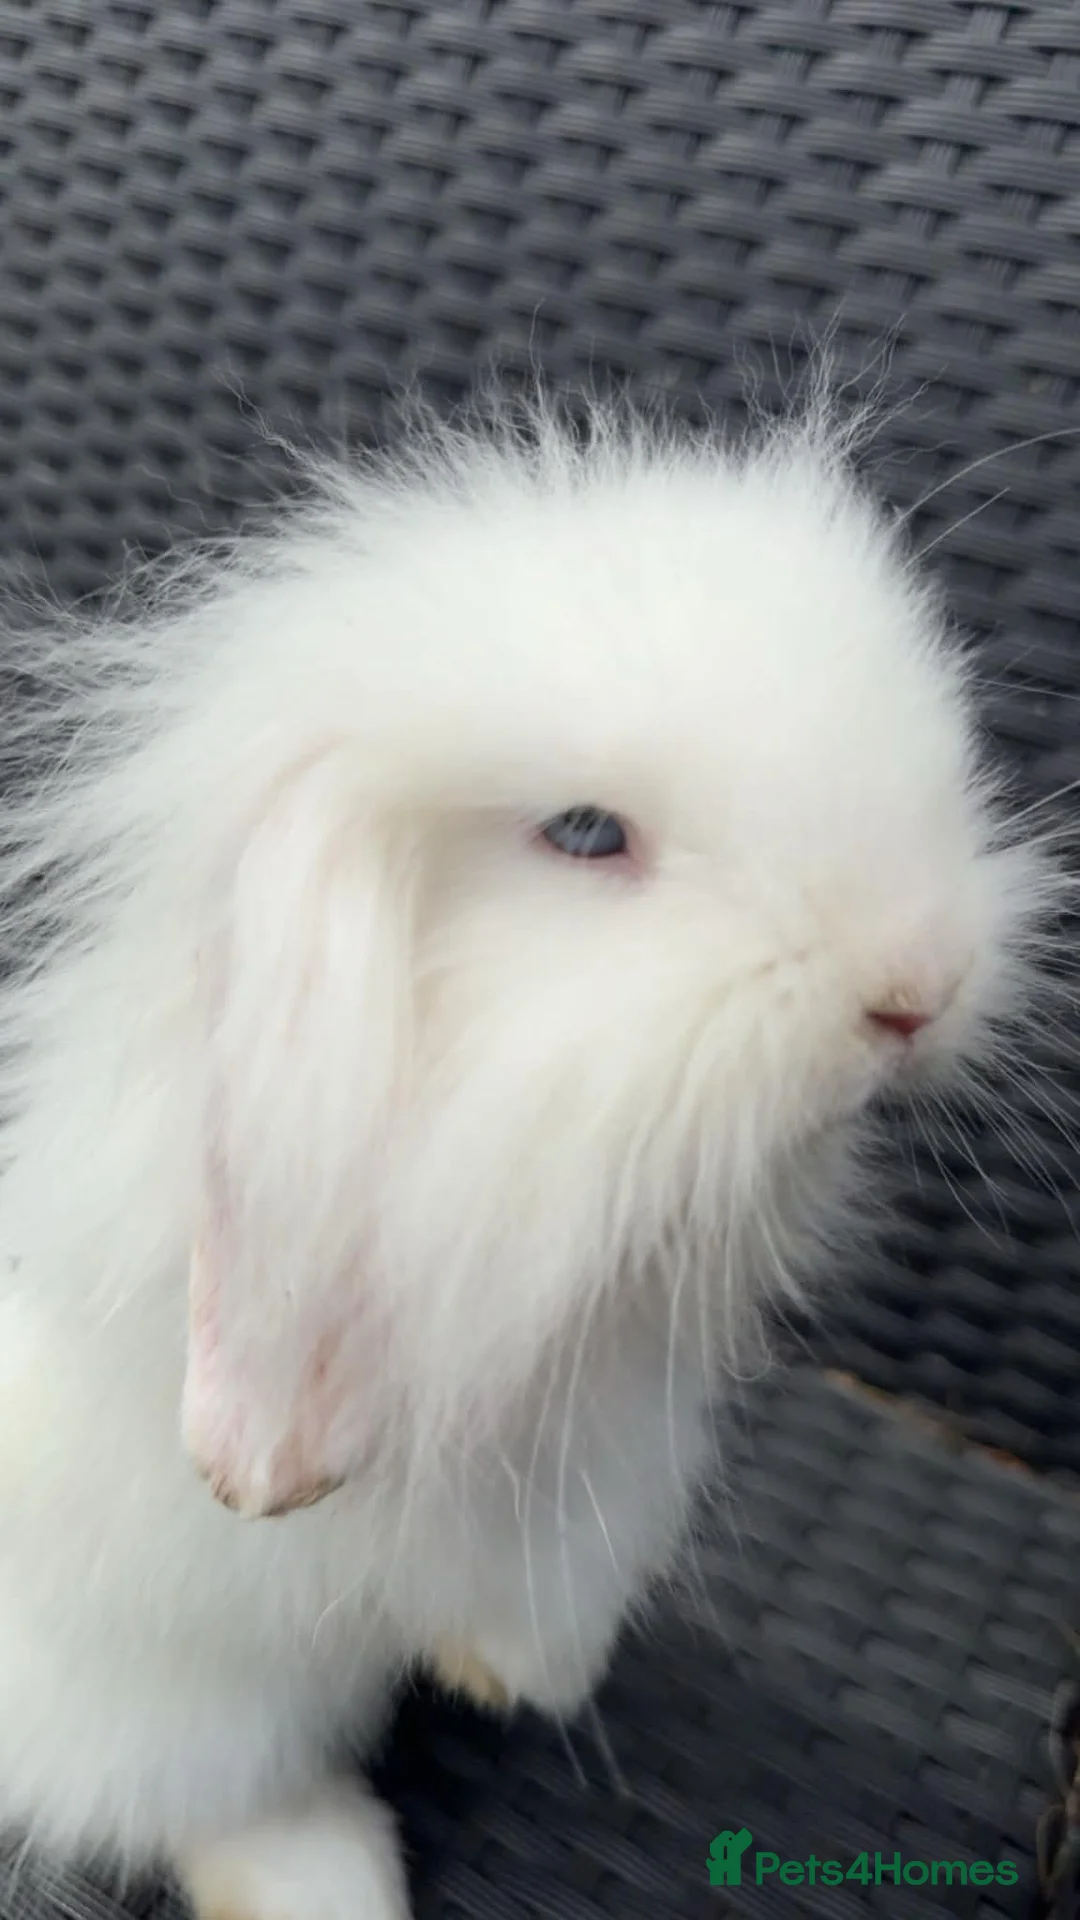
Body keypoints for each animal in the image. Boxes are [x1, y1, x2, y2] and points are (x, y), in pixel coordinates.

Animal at [0, 395, 1056, 1920]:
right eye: (583, 831)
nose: (914, 990)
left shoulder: (618, 1427)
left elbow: (560, 1576)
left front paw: (525, 1680)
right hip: (146, 1702)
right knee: (205, 1797)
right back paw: (332, 1886)